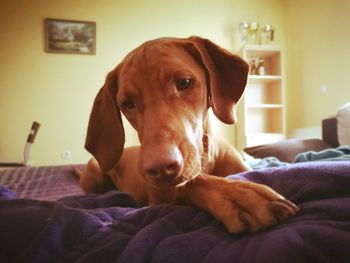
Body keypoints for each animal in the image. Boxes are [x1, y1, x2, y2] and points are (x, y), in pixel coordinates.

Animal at [80, 36, 298, 234]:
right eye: (127, 104)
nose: (160, 168)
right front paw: (238, 195)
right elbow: (191, 183)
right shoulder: (157, 199)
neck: (208, 160)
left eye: (184, 83)